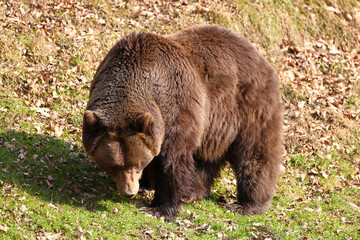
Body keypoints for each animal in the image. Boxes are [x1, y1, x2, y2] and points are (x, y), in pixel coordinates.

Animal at [83, 24, 282, 221]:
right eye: (114, 165)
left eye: (137, 163)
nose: (128, 192)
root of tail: (260, 56)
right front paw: (147, 184)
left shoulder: (176, 108)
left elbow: (172, 159)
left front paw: (160, 208)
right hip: (213, 126)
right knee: (206, 158)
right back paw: (193, 193)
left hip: (248, 107)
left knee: (254, 155)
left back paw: (247, 204)